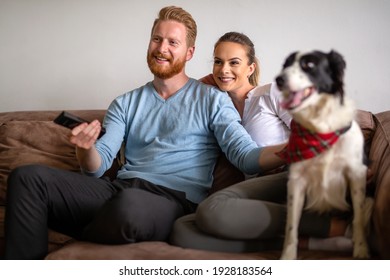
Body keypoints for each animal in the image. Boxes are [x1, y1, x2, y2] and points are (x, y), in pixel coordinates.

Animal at [274, 50, 372, 260]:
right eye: (285, 65)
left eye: (309, 65)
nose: (279, 79)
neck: (320, 128)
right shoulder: (296, 182)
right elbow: (291, 226)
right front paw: (288, 256)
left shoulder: (357, 175)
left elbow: (359, 219)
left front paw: (361, 250)